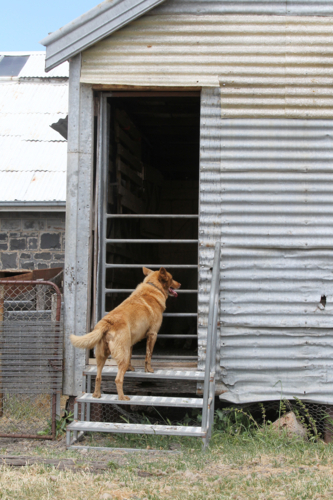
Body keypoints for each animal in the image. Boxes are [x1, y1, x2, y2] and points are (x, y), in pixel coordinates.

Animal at [69, 268, 180, 400]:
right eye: (172, 278)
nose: (180, 284)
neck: (153, 286)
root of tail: (107, 323)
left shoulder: (130, 342)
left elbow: (133, 355)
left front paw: (131, 368)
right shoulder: (153, 334)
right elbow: (148, 355)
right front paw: (149, 370)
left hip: (101, 357)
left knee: (98, 377)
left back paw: (97, 395)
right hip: (122, 356)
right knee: (118, 379)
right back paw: (122, 397)